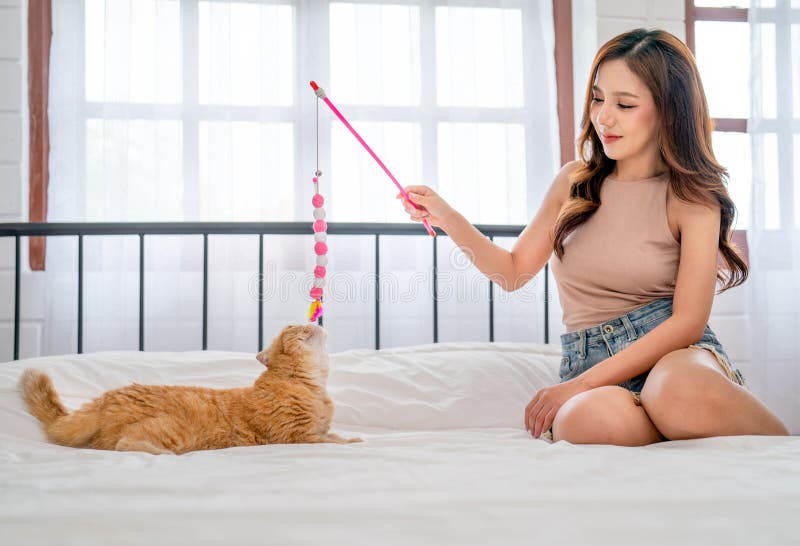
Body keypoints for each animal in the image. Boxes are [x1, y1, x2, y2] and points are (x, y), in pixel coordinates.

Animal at [17, 320, 360, 452]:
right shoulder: (296, 436)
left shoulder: (315, 430)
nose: (312, 322)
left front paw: (352, 438)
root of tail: (106, 397)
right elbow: (329, 442)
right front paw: (352, 443)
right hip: (171, 428)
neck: (312, 385)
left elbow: (333, 435)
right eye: (292, 327)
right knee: (125, 444)